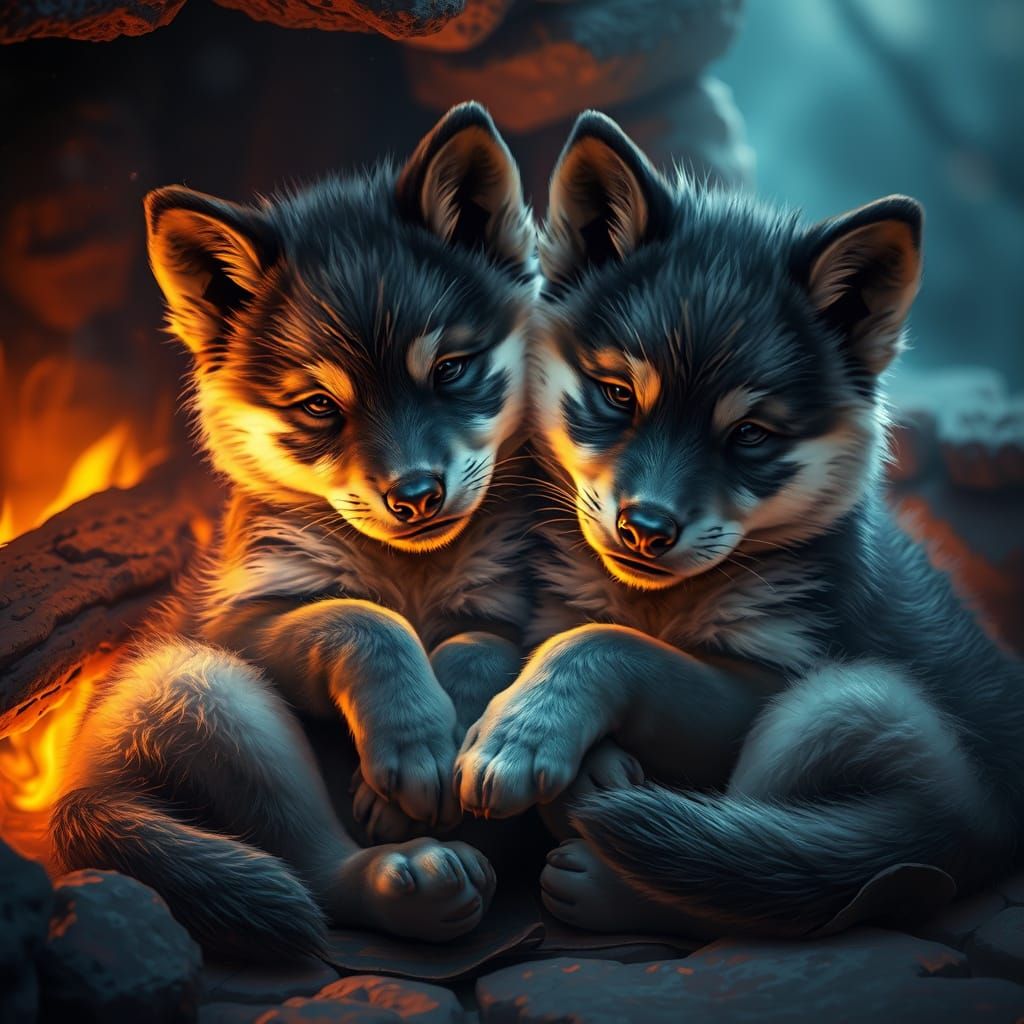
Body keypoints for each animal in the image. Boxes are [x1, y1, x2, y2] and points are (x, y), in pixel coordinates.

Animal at [51, 102, 537, 961]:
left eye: (450, 371)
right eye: (319, 407)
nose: (416, 496)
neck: (408, 567)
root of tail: (77, 799)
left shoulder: (510, 607)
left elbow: (476, 647)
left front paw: (441, 736)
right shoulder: (242, 621)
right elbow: (361, 619)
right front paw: (414, 743)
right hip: (201, 690)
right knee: (314, 869)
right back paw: (408, 880)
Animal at [455, 110, 1024, 938]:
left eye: (750, 435)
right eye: (618, 396)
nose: (646, 529)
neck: (659, 604)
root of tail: (986, 832)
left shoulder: (771, 678)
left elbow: (603, 645)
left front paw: (523, 736)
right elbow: (584, 633)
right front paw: (578, 757)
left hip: (845, 706)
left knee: (761, 860)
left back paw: (614, 882)